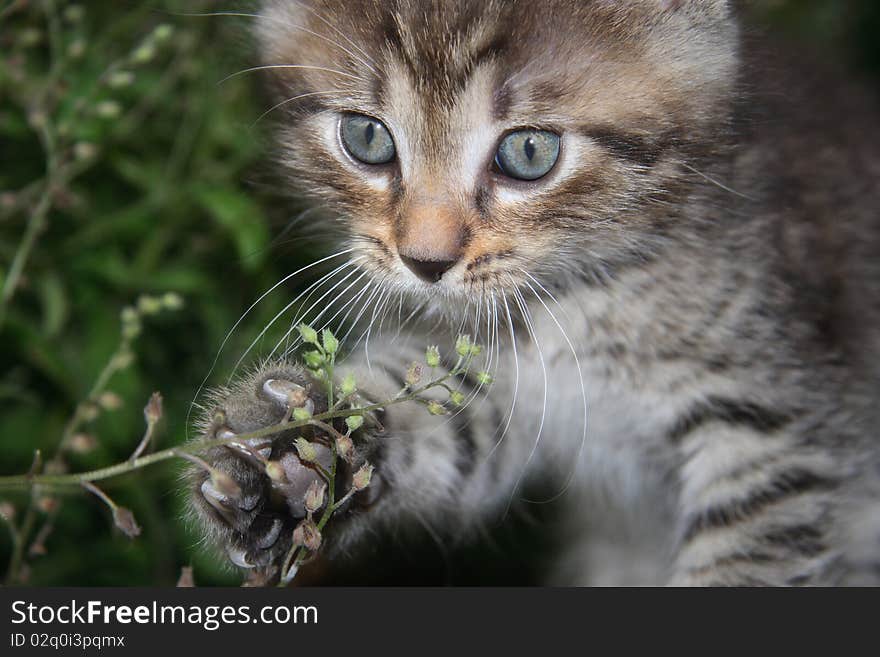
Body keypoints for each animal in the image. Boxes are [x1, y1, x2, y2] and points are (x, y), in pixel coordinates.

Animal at [189, 0, 880, 584]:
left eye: (529, 151)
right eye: (367, 138)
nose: (426, 260)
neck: (577, 296)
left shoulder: (774, 427)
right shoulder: (501, 386)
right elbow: (440, 420)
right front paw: (292, 454)